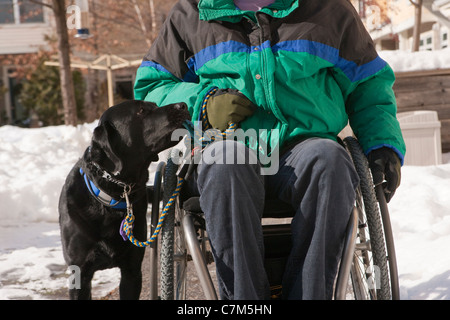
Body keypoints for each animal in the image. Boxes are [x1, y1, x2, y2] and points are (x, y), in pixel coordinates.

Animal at [58, 100, 190, 300]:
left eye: (154, 104)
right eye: (142, 110)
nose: (182, 105)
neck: (110, 200)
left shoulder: (132, 271)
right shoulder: (79, 275)